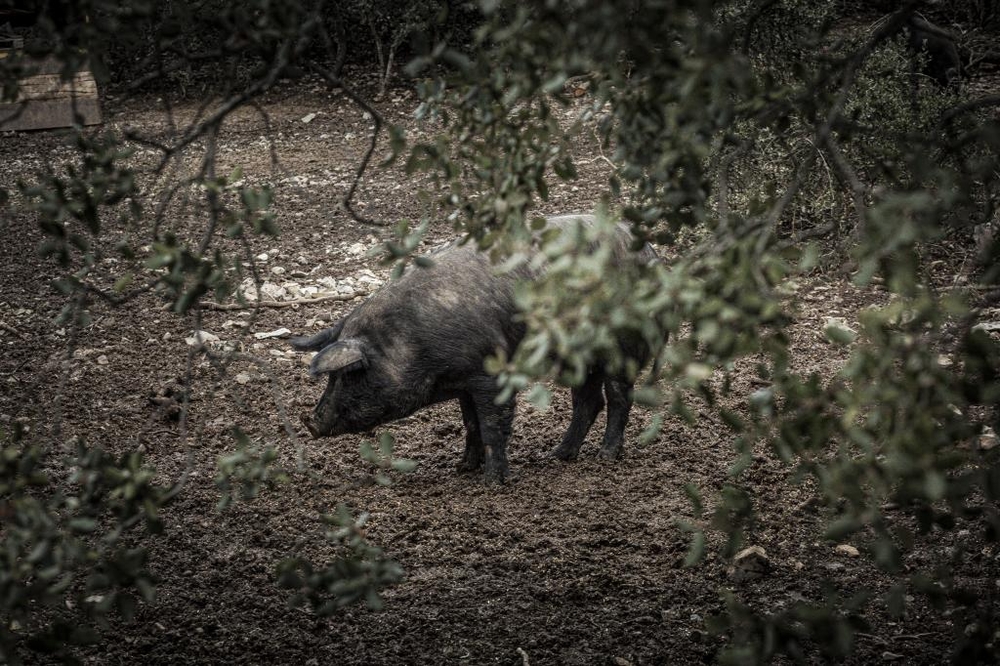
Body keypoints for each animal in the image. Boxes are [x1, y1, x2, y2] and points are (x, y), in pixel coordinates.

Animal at [292, 215, 660, 480]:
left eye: (350, 374)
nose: (310, 423)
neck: (412, 341)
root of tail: (653, 256)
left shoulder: (490, 375)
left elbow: (493, 426)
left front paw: (493, 481)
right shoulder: (463, 383)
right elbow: (471, 424)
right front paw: (463, 468)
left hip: (623, 346)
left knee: (619, 398)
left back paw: (606, 456)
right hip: (580, 356)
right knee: (588, 401)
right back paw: (556, 455)